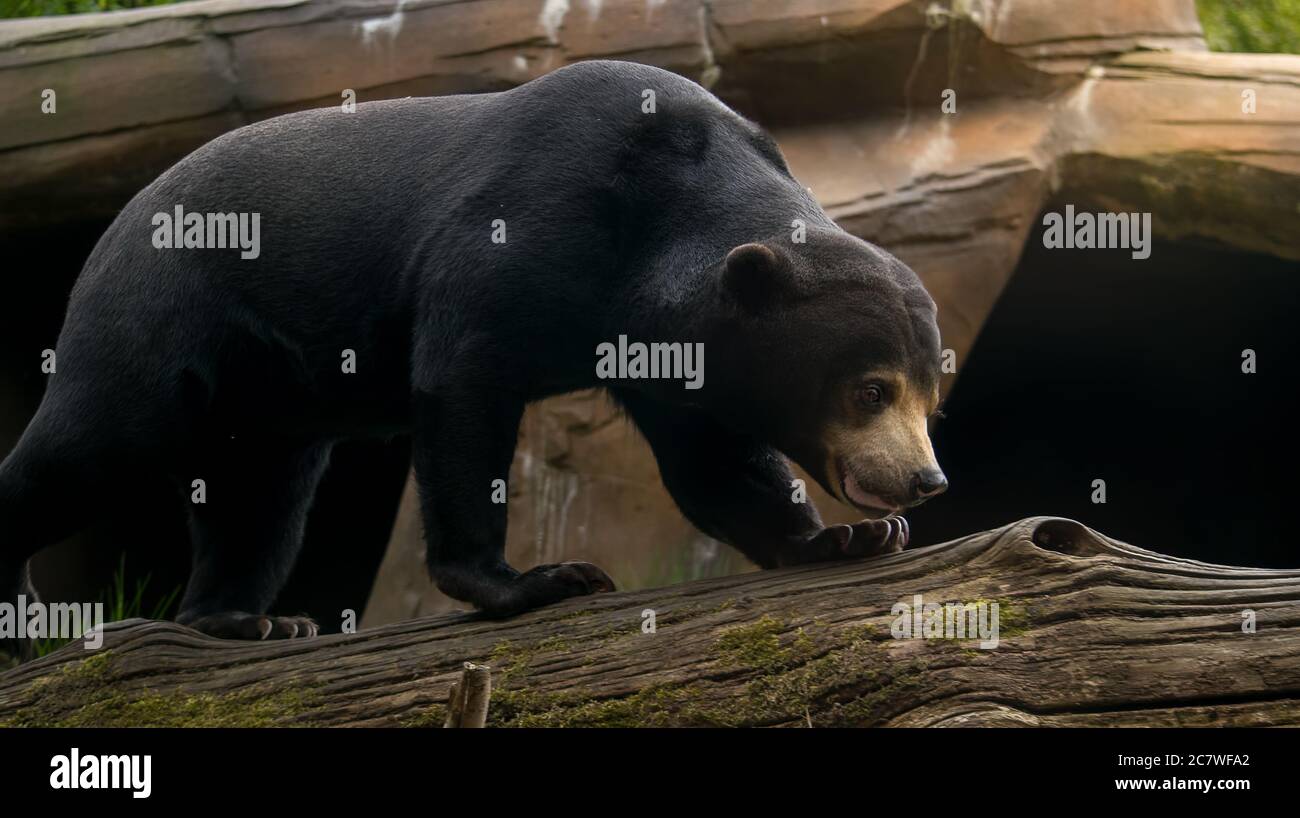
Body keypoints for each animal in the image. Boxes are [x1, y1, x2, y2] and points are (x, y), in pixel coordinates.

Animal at [0, 60, 946, 656]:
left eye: (928, 396)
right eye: (871, 390)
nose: (924, 482)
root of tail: (117, 226)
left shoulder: (671, 349)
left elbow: (713, 462)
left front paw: (849, 537)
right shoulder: (525, 225)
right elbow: (462, 384)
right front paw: (544, 578)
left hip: (269, 402)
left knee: (258, 507)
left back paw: (248, 621)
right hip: (167, 326)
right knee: (87, 446)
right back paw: (27, 607)